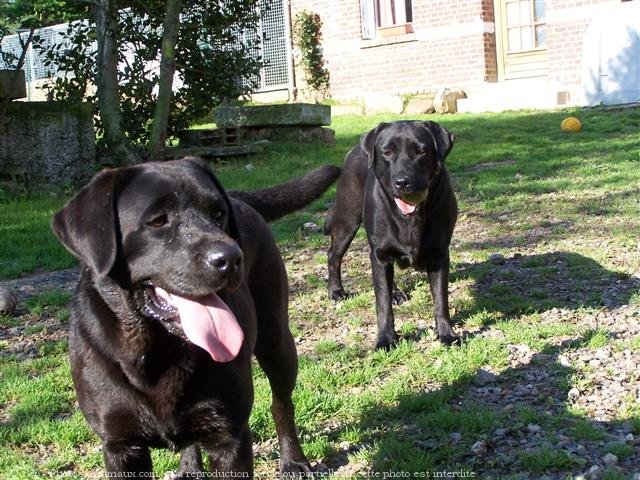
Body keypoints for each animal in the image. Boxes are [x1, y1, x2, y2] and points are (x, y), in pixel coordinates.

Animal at [51, 159, 340, 478]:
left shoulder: (229, 436)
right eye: (157, 221)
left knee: (281, 403)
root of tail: (238, 196)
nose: (230, 258)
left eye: (218, 214)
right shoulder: (120, 446)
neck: (155, 352)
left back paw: (293, 460)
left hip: (276, 340)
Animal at [328, 121, 458, 348]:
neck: (411, 216)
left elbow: (441, 300)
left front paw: (446, 334)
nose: (402, 181)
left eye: (421, 151)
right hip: (347, 220)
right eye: (387, 152)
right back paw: (336, 290)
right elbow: (383, 303)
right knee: (333, 255)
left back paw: (396, 292)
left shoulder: (439, 254)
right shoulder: (380, 253)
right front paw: (386, 338)